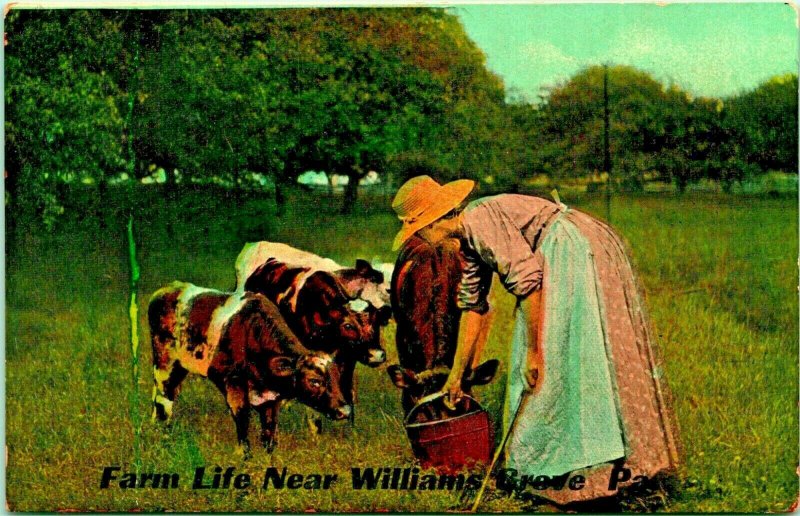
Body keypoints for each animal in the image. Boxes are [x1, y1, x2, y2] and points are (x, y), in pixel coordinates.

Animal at [150, 282, 350, 456]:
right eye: (314, 381)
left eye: (337, 378)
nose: (345, 411)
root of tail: (169, 289)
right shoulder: (233, 383)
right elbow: (242, 418)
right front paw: (244, 455)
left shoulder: (271, 399)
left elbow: (269, 432)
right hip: (165, 364)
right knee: (164, 400)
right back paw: (163, 436)